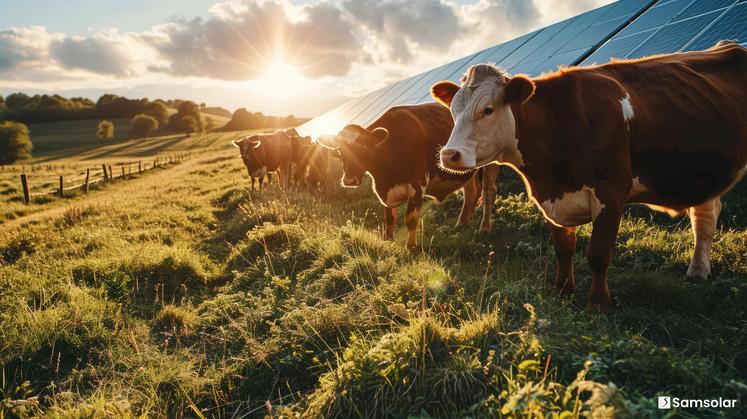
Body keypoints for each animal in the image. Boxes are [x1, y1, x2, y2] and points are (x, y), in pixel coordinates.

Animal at [318, 101, 500, 249]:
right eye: (339, 151)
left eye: (364, 148)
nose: (349, 180)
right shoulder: (385, 192)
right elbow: (389, 219)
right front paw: (388, 243)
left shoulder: (417, 184)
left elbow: (410, 219)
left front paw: (411, 246)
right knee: (471, 192)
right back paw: (461, 225)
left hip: (491, 163)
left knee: (488, 193)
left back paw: (484, 228)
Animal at [432, 41, 747, 312]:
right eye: (453, 111)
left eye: (487, 110)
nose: (449, 155)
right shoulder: (553, 197)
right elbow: (563, 249)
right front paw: (561, 291)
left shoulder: (612, 192)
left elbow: (598, 253)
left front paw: (597, 304)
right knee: (706, 214)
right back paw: (698, 270)